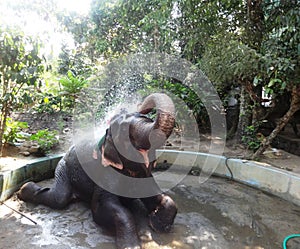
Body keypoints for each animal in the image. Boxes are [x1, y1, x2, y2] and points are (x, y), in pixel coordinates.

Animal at [17, 93, 178, 249]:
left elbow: (164, 198)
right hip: (63, 167)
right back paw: (24, 189)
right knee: (59, 198)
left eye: (147, 119)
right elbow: (103, 209)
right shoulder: (104, 174)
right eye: (124, 132)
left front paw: (158, 225)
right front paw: (130, 246)